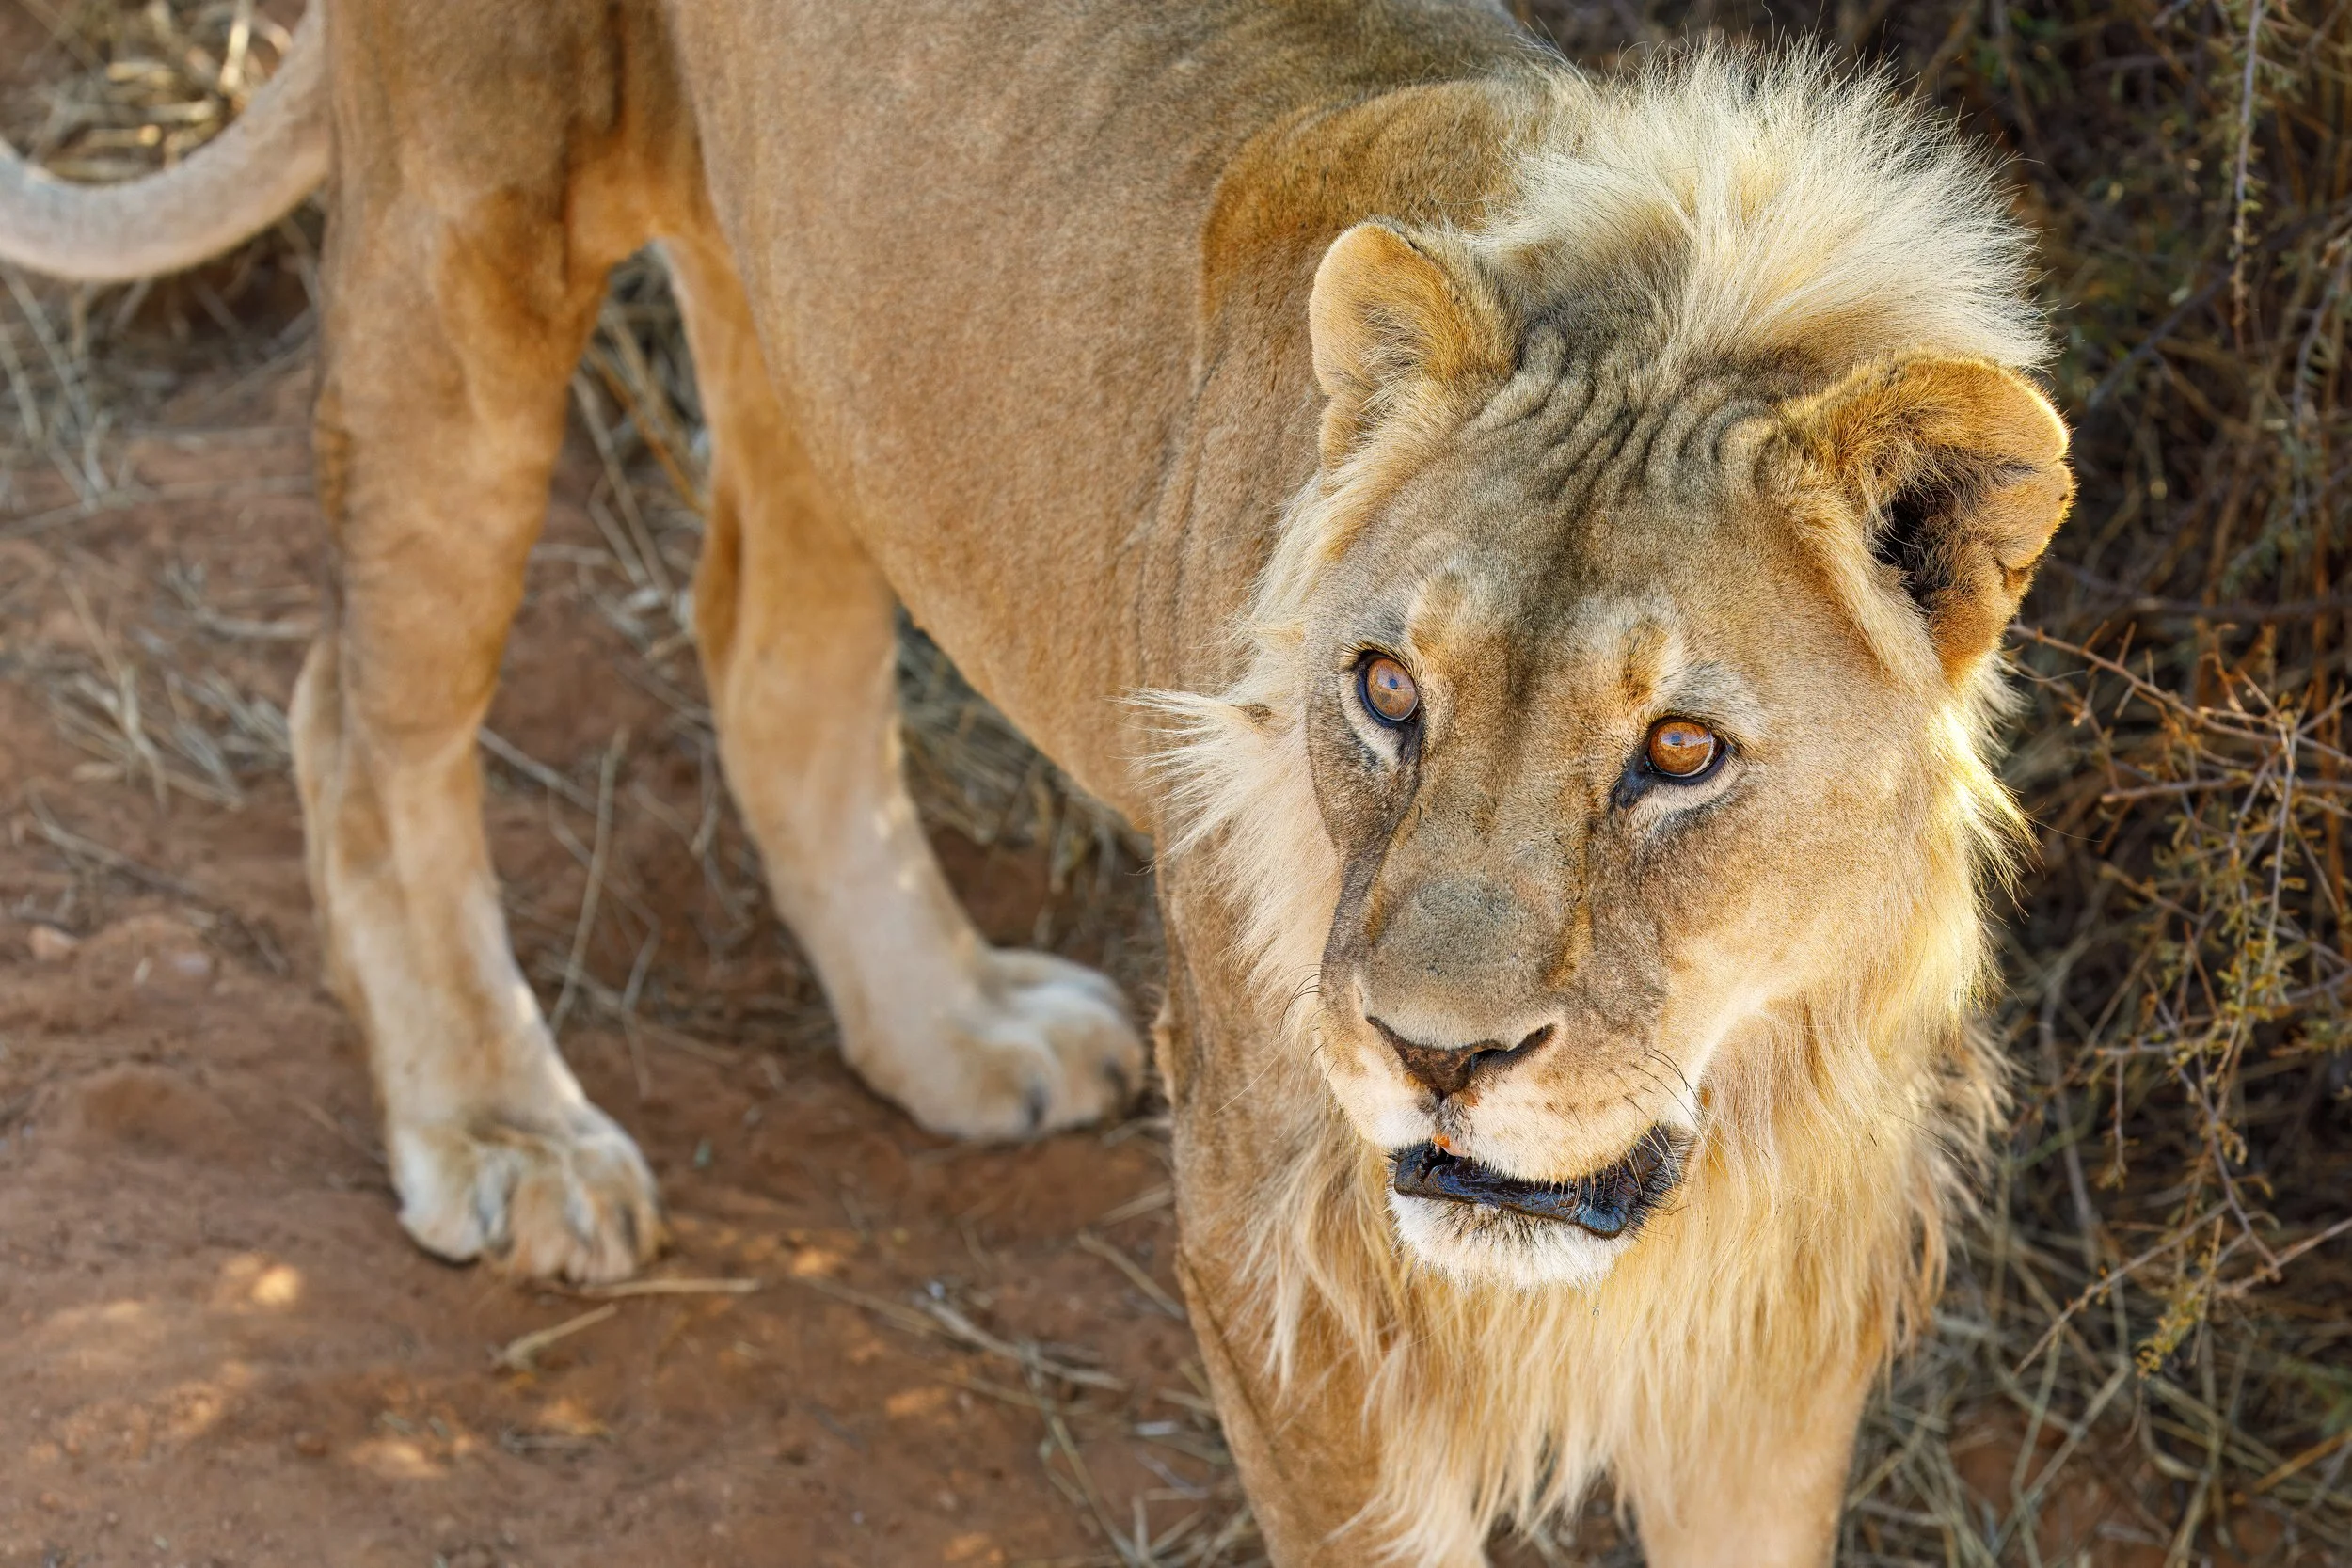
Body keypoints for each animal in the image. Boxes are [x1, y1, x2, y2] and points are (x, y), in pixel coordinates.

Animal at [2, 2, 2070, 1561]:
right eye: (1386, 690)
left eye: (1679, 751)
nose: (1432, 1055)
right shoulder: (1286, 1243)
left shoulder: (1785, 1297)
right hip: (470, 223)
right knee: (359, 708)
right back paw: (504, 1131)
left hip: (827, 330)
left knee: (770, 655)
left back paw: (952, 1029)